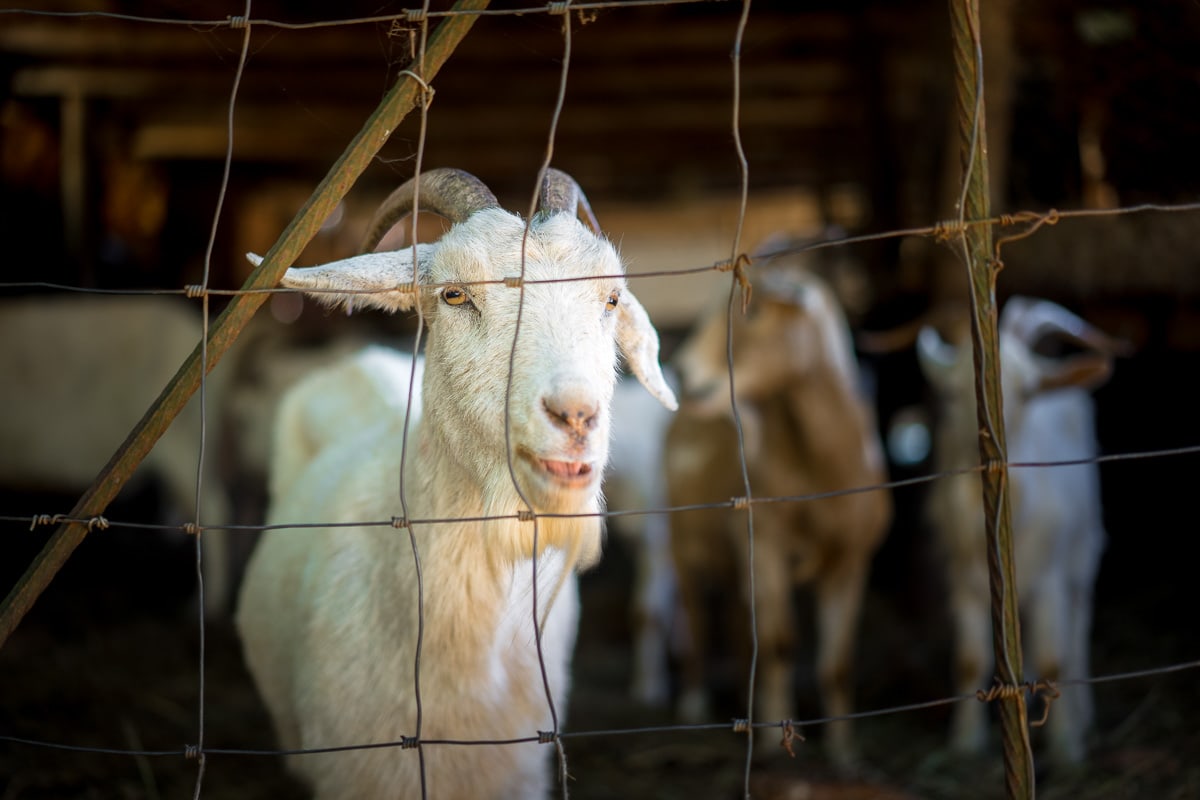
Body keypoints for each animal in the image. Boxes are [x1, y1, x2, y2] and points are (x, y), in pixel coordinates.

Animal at [664, 259, 892, 767]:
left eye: (757, 311)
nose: (684, 372)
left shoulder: (853, 560)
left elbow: (838, 662)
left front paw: (845, 752)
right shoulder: (766, 547)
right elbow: (778, 643)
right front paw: (773, 738)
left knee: (734, 615)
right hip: (682, 542)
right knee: (695, 614)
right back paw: (692, 700)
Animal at [917, 295, 1122, 765]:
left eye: (1028, 392)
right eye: (950, 393)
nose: (985, 447)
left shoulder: (1050, 575)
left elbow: (1053, 661)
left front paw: (1066, 748)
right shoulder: (964, 578)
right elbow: (969, 661)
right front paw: (964, 743)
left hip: (1082, 551)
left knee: (1077, 628)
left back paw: (1082, 716)